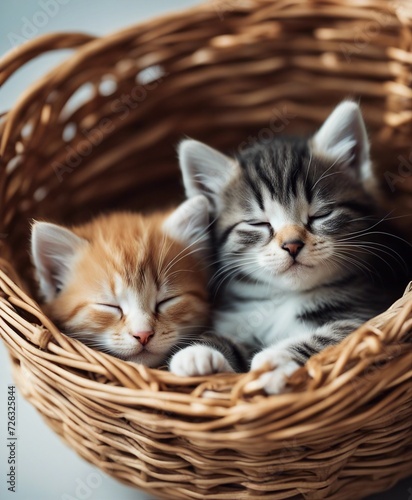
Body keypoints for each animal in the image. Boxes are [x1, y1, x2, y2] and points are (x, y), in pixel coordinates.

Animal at [172, 100, 410, 390]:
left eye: (321, 215)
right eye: (258, 223)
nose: (292, 245)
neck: (285, 297)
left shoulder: (370, 313)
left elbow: (338, 336)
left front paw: (275, 360)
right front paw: (198, 351)